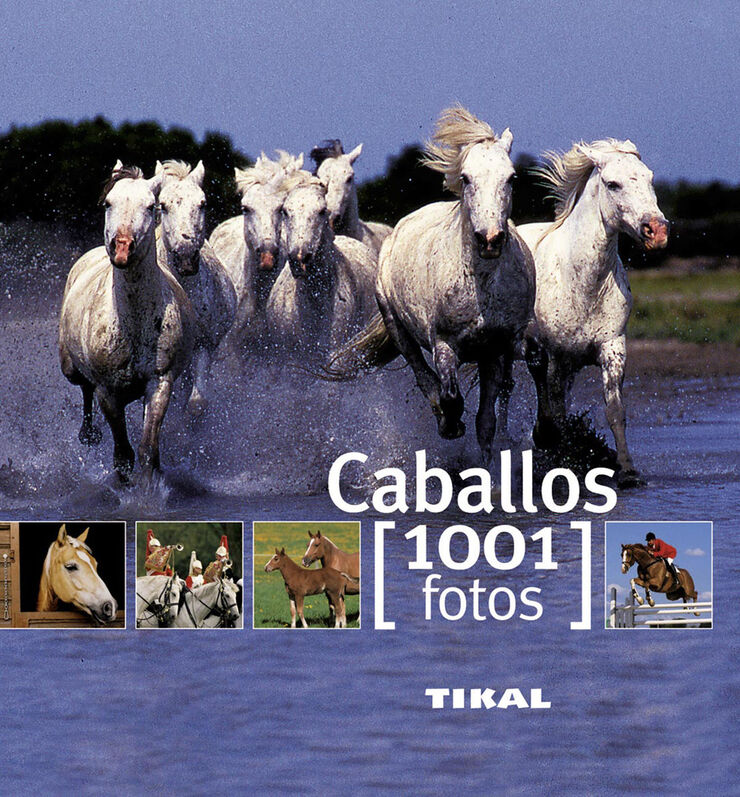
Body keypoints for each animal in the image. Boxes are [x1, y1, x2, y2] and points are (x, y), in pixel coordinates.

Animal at [59, 162, 195, 483]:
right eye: (108, 203)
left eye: (150, 206)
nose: (122, 248)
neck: (133, 323)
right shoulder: (108, 391)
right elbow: (122, 455)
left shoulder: (160, 382)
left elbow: (147, 450)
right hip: (70, 367)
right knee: (84, 387)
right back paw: (89, 435)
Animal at [325, 105, 535, 463]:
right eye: (466, 178)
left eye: (511, 178)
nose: (490, 239)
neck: (481, 286)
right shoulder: (444, 344)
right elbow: (450, 394)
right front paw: (450, 425)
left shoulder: (495, 349)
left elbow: (486, 422)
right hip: (397, 327)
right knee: (423, 375)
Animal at [512, 140, 669, 487]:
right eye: (613, 184)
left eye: (650, 178)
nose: (657, 231)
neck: (582, 284)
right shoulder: (553, 355)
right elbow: (555, 412)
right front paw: (558, 464)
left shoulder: (612, 348)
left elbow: (615, 410)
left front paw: (627, 471)